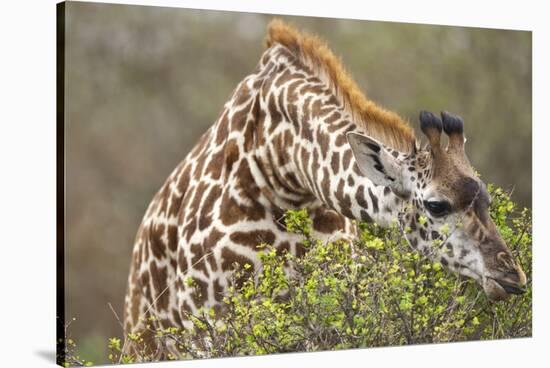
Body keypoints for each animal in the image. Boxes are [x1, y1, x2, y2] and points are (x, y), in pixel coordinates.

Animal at [123, 19, 528, 356]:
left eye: (487, 199)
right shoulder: (212, 323)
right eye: (436, 205)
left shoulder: (333, 314)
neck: (282, 170)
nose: (512, 277)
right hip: (148, 342)